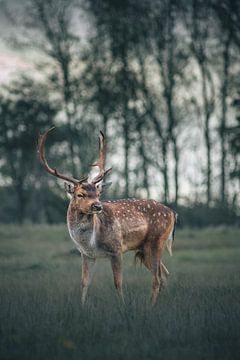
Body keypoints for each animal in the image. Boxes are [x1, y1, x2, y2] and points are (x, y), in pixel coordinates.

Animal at [37, 128, 176, 306]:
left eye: (98, 194)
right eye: (80, 194)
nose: (98, 206)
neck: (90, 241)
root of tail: (172, 213)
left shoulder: (116, 249)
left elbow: (117, 282)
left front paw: (122, 306)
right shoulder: (86, 254)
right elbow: (84, 282)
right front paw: (81, 306)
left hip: (156, 241)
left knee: (157, 278)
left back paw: (150, 306)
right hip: (144, 248)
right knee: (164, 274)